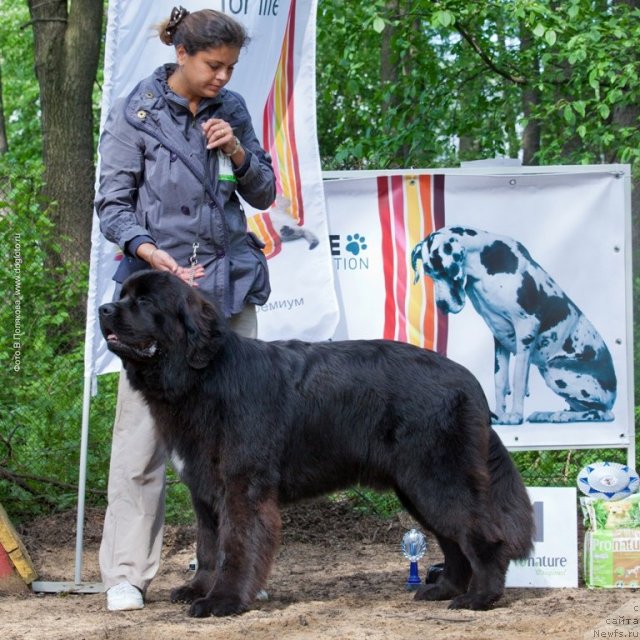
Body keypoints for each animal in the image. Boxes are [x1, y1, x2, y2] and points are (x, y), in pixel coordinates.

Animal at [97, 268, 532, 616]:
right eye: (122, 294)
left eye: (144, 301)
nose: (103, 309)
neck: (202, 377)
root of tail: (469, 380)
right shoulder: (204, 489)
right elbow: (207, 548)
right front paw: (198, 590)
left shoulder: (242, 486)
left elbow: (234, 547)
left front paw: (223, 601)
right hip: (416, 488)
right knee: (452, 540)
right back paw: (443, 590)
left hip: (437, 478)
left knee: (482, 533)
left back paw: (480, 597)